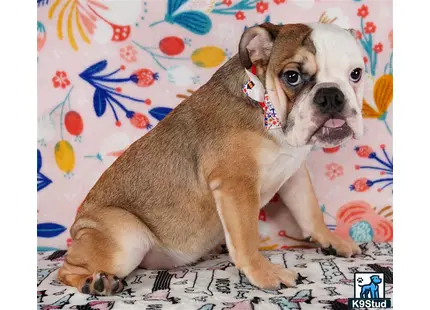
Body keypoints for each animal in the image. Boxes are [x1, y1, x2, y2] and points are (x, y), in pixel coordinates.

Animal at [58, 22, 364, 296]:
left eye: (356, 74)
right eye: (292, 76)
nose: (331, 95)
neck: (267, 108)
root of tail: (78, 229)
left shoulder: (294, 174)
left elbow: (309, 210)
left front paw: (330, 239)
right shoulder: (236, 183)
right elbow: (247, 237)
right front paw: (263, 272)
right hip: (126, 238)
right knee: (66, 269)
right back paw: (96, 282)